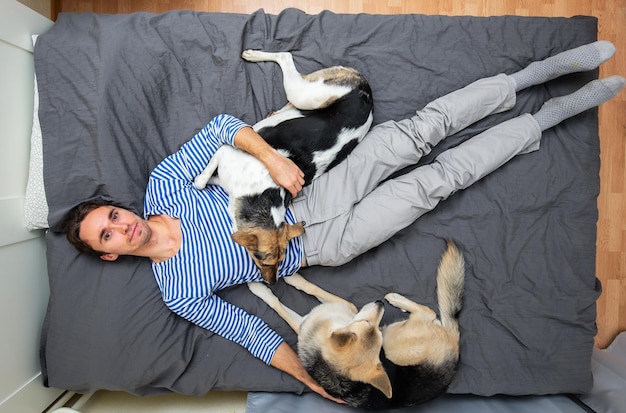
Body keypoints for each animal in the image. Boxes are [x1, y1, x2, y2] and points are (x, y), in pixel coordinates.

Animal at [194, 50, 370, 284]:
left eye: (281, 259)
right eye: (263, 261)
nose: (273, 283)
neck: (261, 195)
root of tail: (366, 91)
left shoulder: (225, 161)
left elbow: (206, 181)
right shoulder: (224, 152)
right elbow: (202, 182)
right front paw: (198, 180)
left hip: (306, 94)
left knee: (286, 61)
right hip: (306, 95)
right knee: (285, 57)